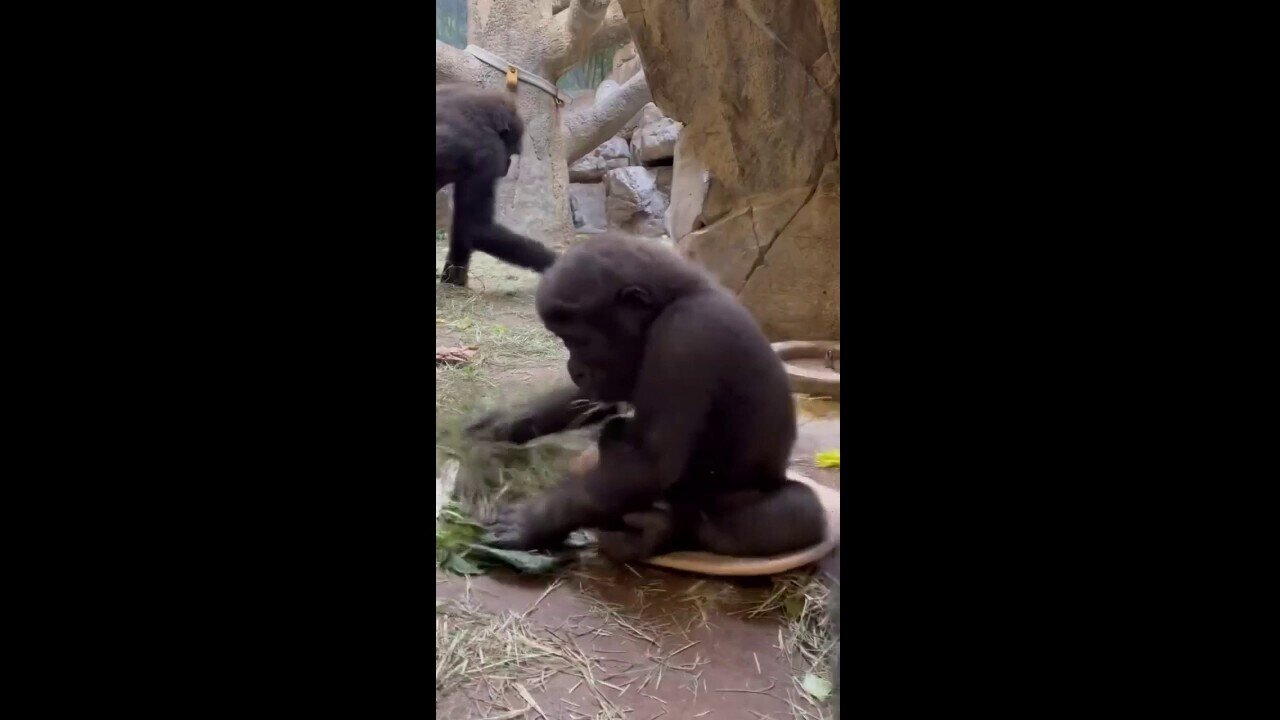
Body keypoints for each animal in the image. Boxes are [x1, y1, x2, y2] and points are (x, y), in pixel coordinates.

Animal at [473, 233, 829, 558]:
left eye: (576, 340)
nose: (575, 369)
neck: (672, 300)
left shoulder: (684, 338)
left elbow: (649, 465)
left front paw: (536, 520)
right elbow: (596, 401)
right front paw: (505, 423)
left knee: (794, 512)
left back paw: (665, 530)